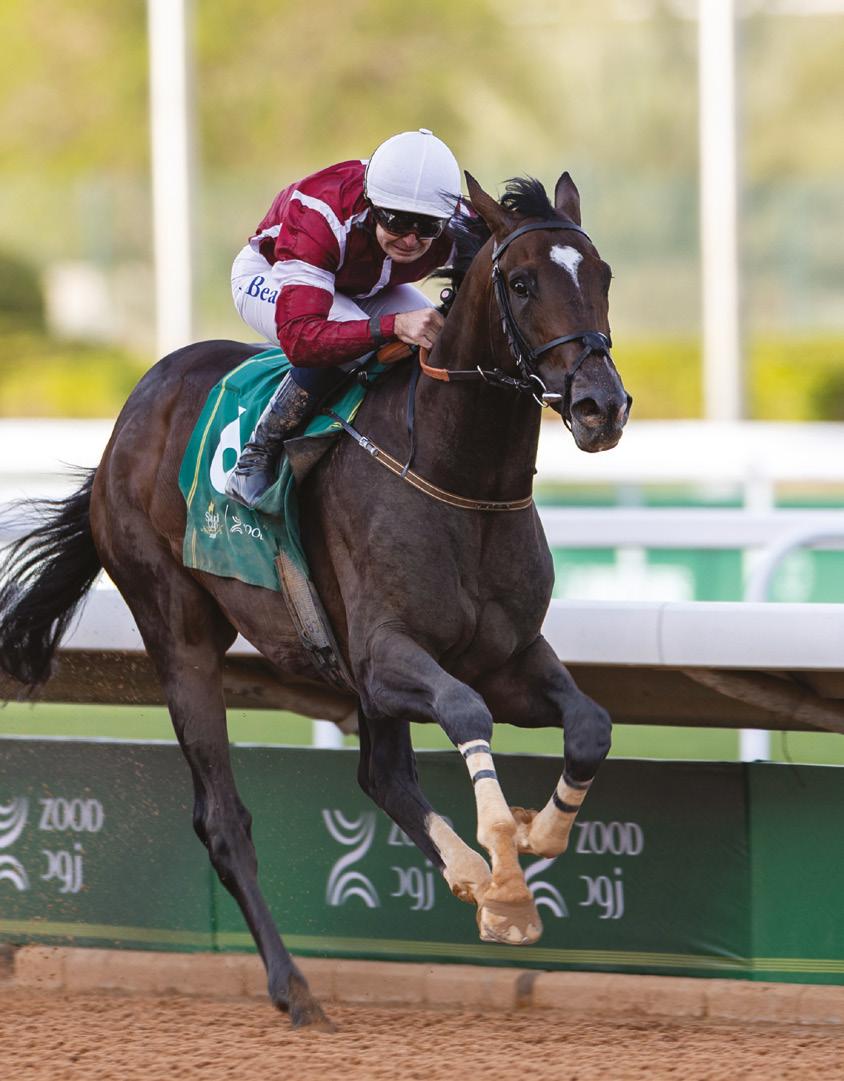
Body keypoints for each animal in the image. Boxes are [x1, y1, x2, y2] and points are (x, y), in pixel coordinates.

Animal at [0, 171, 630, 1029]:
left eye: (603, 275)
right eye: (524, 281)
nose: (602, 405)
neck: (458, 478)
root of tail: (126, 420)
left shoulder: (507, 655)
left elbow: (589, 724)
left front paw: (530, 846)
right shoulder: (385, 655)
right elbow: (465, 709)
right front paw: (505, 854)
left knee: (382, 775)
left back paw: (473, 878)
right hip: (178, 633)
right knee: (223, 817)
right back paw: (296, 984)